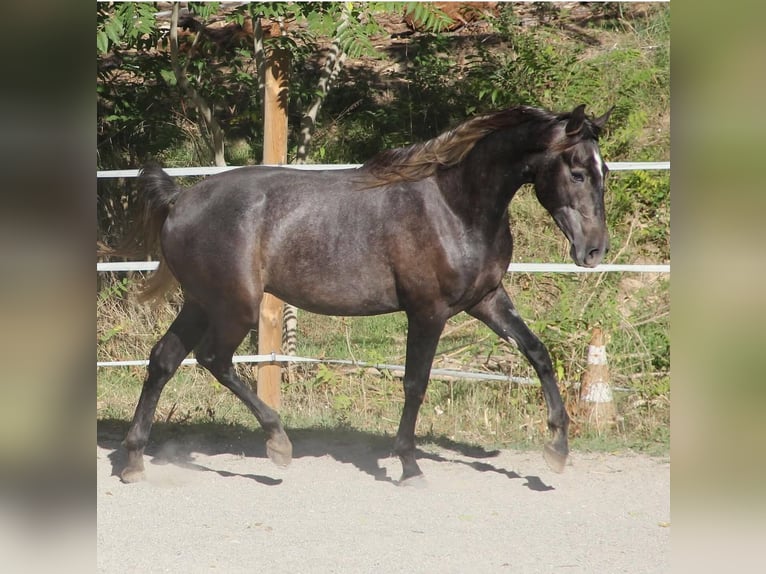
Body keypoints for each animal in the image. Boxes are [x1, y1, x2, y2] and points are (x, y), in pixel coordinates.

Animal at [108, 104, 616, 486]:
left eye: (604, 170)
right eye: (576, 172)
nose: (594, 251)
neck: (454, 207)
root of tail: (179, 199)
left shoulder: (486, 299)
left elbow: (537, 353)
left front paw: (557, 449)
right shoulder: (427, 311)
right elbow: (415, 383)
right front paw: (409, 466)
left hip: (201, 302)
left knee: (163, 359)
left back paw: (133, 460)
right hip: (234, 306)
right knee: (213, 359)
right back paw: (278, 443)